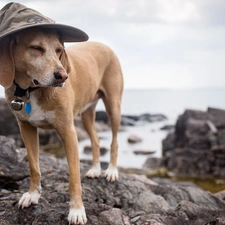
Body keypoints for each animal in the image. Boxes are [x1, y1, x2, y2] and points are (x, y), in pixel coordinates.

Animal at [0, 25, 123, 223]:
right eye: (36, 48)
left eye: (59, 50)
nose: (63, 76)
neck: (32, 90)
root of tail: (104, 45)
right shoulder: (26, 128)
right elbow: (34, 166)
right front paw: (32, 194)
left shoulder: (68, 132)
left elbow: (74, 178)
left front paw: (76, 210)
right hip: (86, 114)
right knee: (96, 140)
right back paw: (96, 169)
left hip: (114, 107)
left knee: (114, 141)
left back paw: (111, 171)